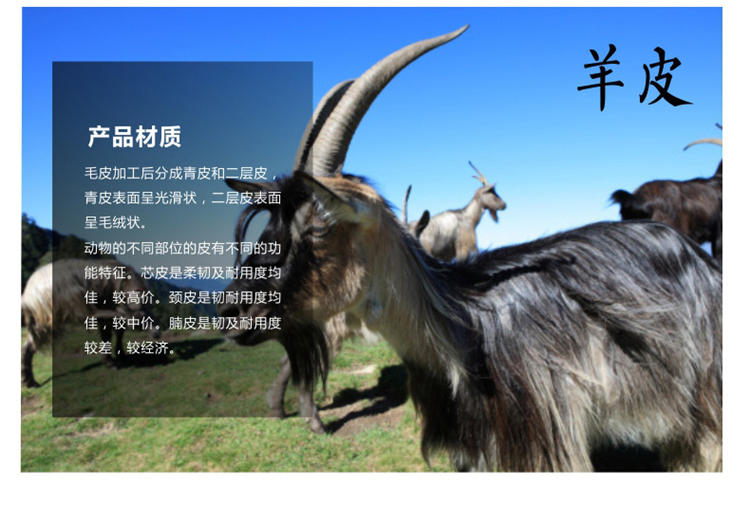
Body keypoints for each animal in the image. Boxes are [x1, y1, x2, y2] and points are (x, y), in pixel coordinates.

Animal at [21, 259, 161, 387]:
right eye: (142, 315)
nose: (157, 333)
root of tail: (28, 295)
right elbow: (111, 330)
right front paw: (112, 361)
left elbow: (111, 334)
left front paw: (116, 358)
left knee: (29, 344)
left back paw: (29, 381)